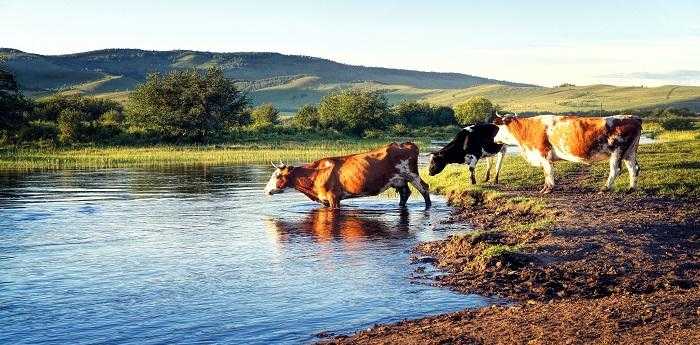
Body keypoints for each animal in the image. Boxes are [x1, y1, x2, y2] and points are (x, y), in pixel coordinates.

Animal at [262, 142, 430, 207]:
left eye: (277, 176)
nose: (265, 190)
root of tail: (406, 144)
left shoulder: (334, 197)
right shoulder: (324, 200)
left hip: (411, 174)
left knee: (424, 188)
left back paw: (428, 206)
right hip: (399, 180)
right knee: (405, 193)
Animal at [492, 113, 640, 192]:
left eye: (499, 127)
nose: (494, 139)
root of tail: (633, 117)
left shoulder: (544, 153)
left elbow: (548, 172)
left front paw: (548, 189)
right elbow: (546, 172)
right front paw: (546, 187)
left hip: (617, 151)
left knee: (616, 169)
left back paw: (605, 188)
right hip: (629, 153)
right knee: (633, 168)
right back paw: (631, 188)